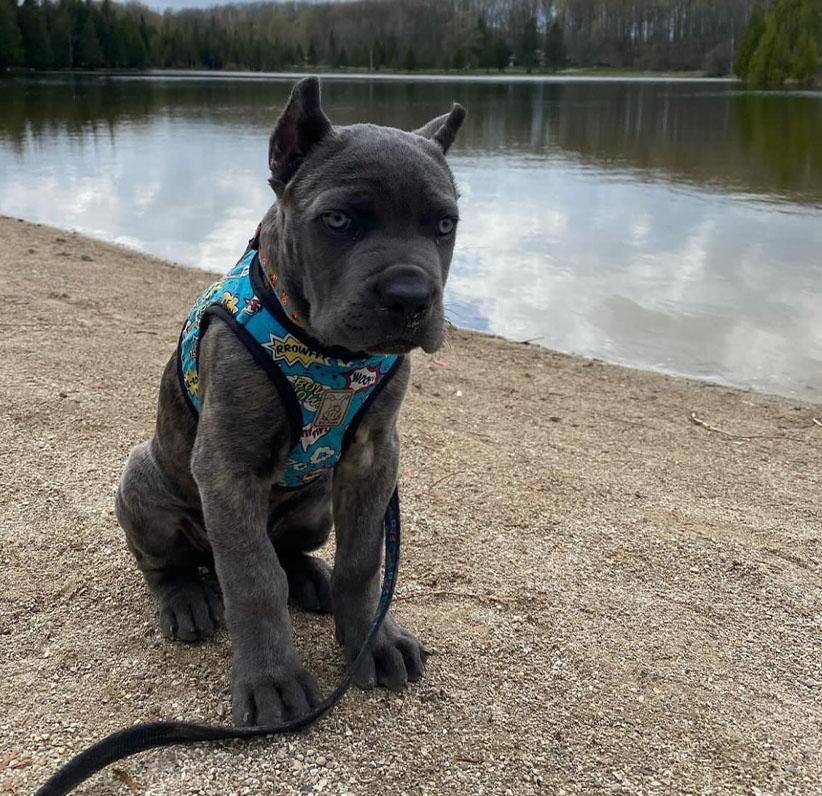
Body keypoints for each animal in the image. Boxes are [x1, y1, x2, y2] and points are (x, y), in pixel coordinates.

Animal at [115, 77, 466, 724]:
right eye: (339, 220)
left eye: (444, 225)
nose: (410, 297)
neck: (327, 353)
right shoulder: (228, 467)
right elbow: (254, 582)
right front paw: (272, 679)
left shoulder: (373, 457)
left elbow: (363, 562)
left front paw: (372, 640)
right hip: (144, 483)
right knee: (170, 564)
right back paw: (185, 599)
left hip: (315, 505)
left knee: (285, 552)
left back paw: (311, 578)